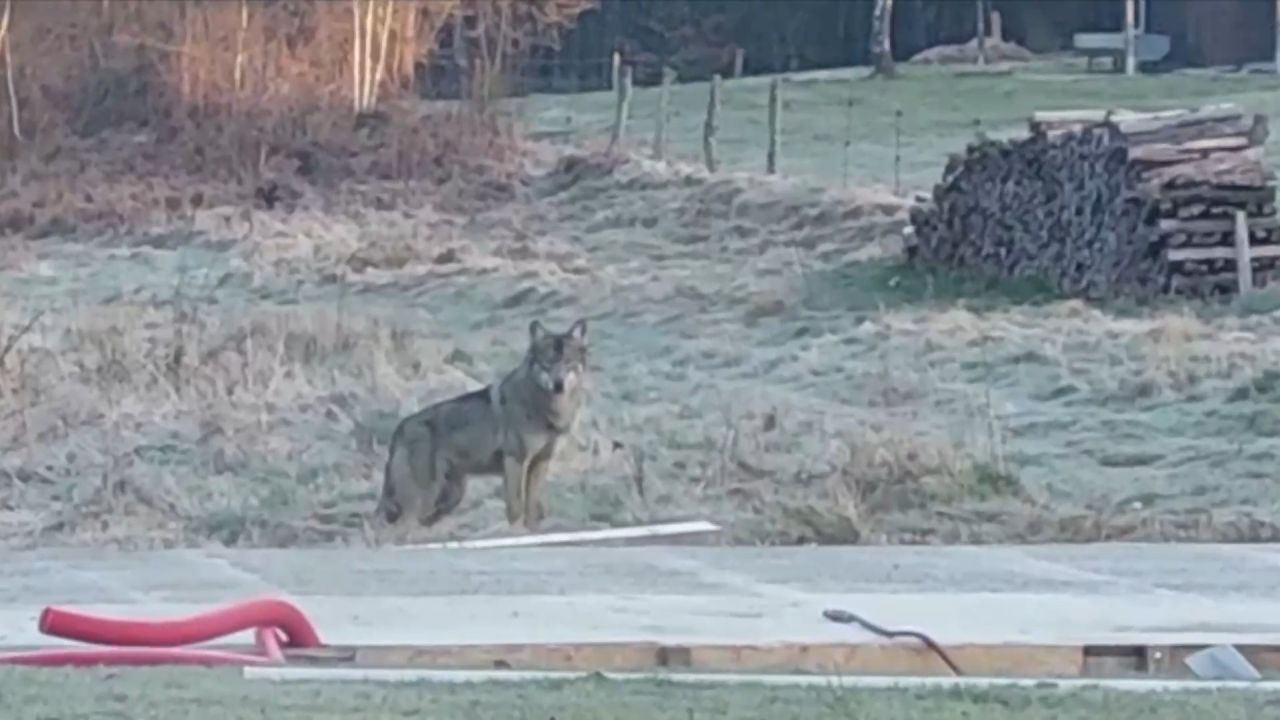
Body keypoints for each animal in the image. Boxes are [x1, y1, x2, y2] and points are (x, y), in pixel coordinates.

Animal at [375, 318, 589, 531]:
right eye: (548, 363)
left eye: (568, 362)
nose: (559, 384)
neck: (545, 408)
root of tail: (400, 428)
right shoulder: (515, 460)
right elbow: (516, 509)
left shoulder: (540, 462)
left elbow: (532, 510)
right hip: (423, 499)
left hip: (450, 498)